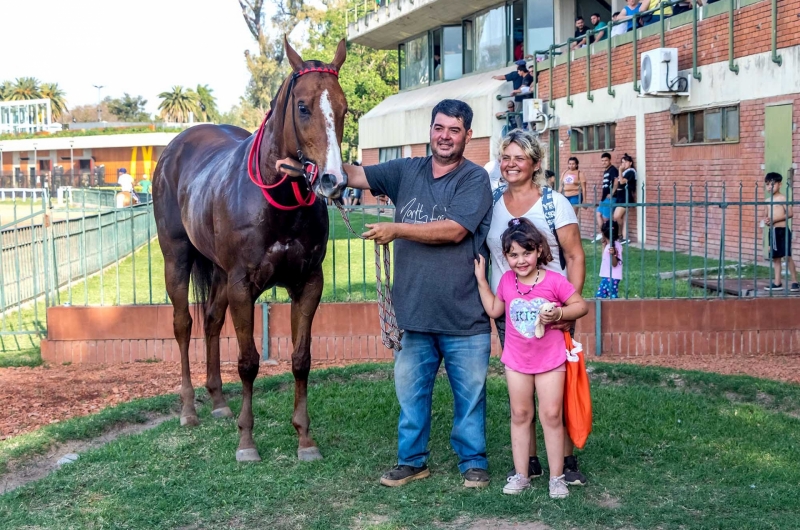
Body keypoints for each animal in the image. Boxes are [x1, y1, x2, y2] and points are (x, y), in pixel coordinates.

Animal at [153, 39, 346, 460]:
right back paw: (189, 408)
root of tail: (176, 146)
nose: (333, 180)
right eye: (303, 106)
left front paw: (305, 438)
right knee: (183, 324)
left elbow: (301, 360)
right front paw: (246, 441)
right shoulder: (243, 285)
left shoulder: (309, 283)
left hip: (219, 273)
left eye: (343, 108)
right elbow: (247, 362)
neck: (278, 202)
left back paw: (217, 401)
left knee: (210, 320)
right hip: (177, 258)